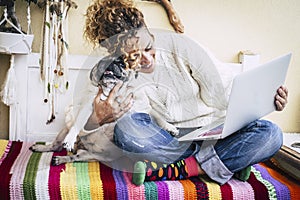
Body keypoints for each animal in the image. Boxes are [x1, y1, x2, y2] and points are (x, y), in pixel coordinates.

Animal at [31, 55, 178, 166]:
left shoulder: (144, 108)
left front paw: (170, 128)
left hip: (91, 155)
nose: (110, 63)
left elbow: (158, 116)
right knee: (56, 145)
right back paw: (42, 148)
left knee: (75, 157)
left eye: (121, 63)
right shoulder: (88, 107)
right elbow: (78, 124)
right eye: (102, 61)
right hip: (64, 129)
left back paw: (62, 158)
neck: (116, 93)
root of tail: (82, 147)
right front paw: (70, 139)